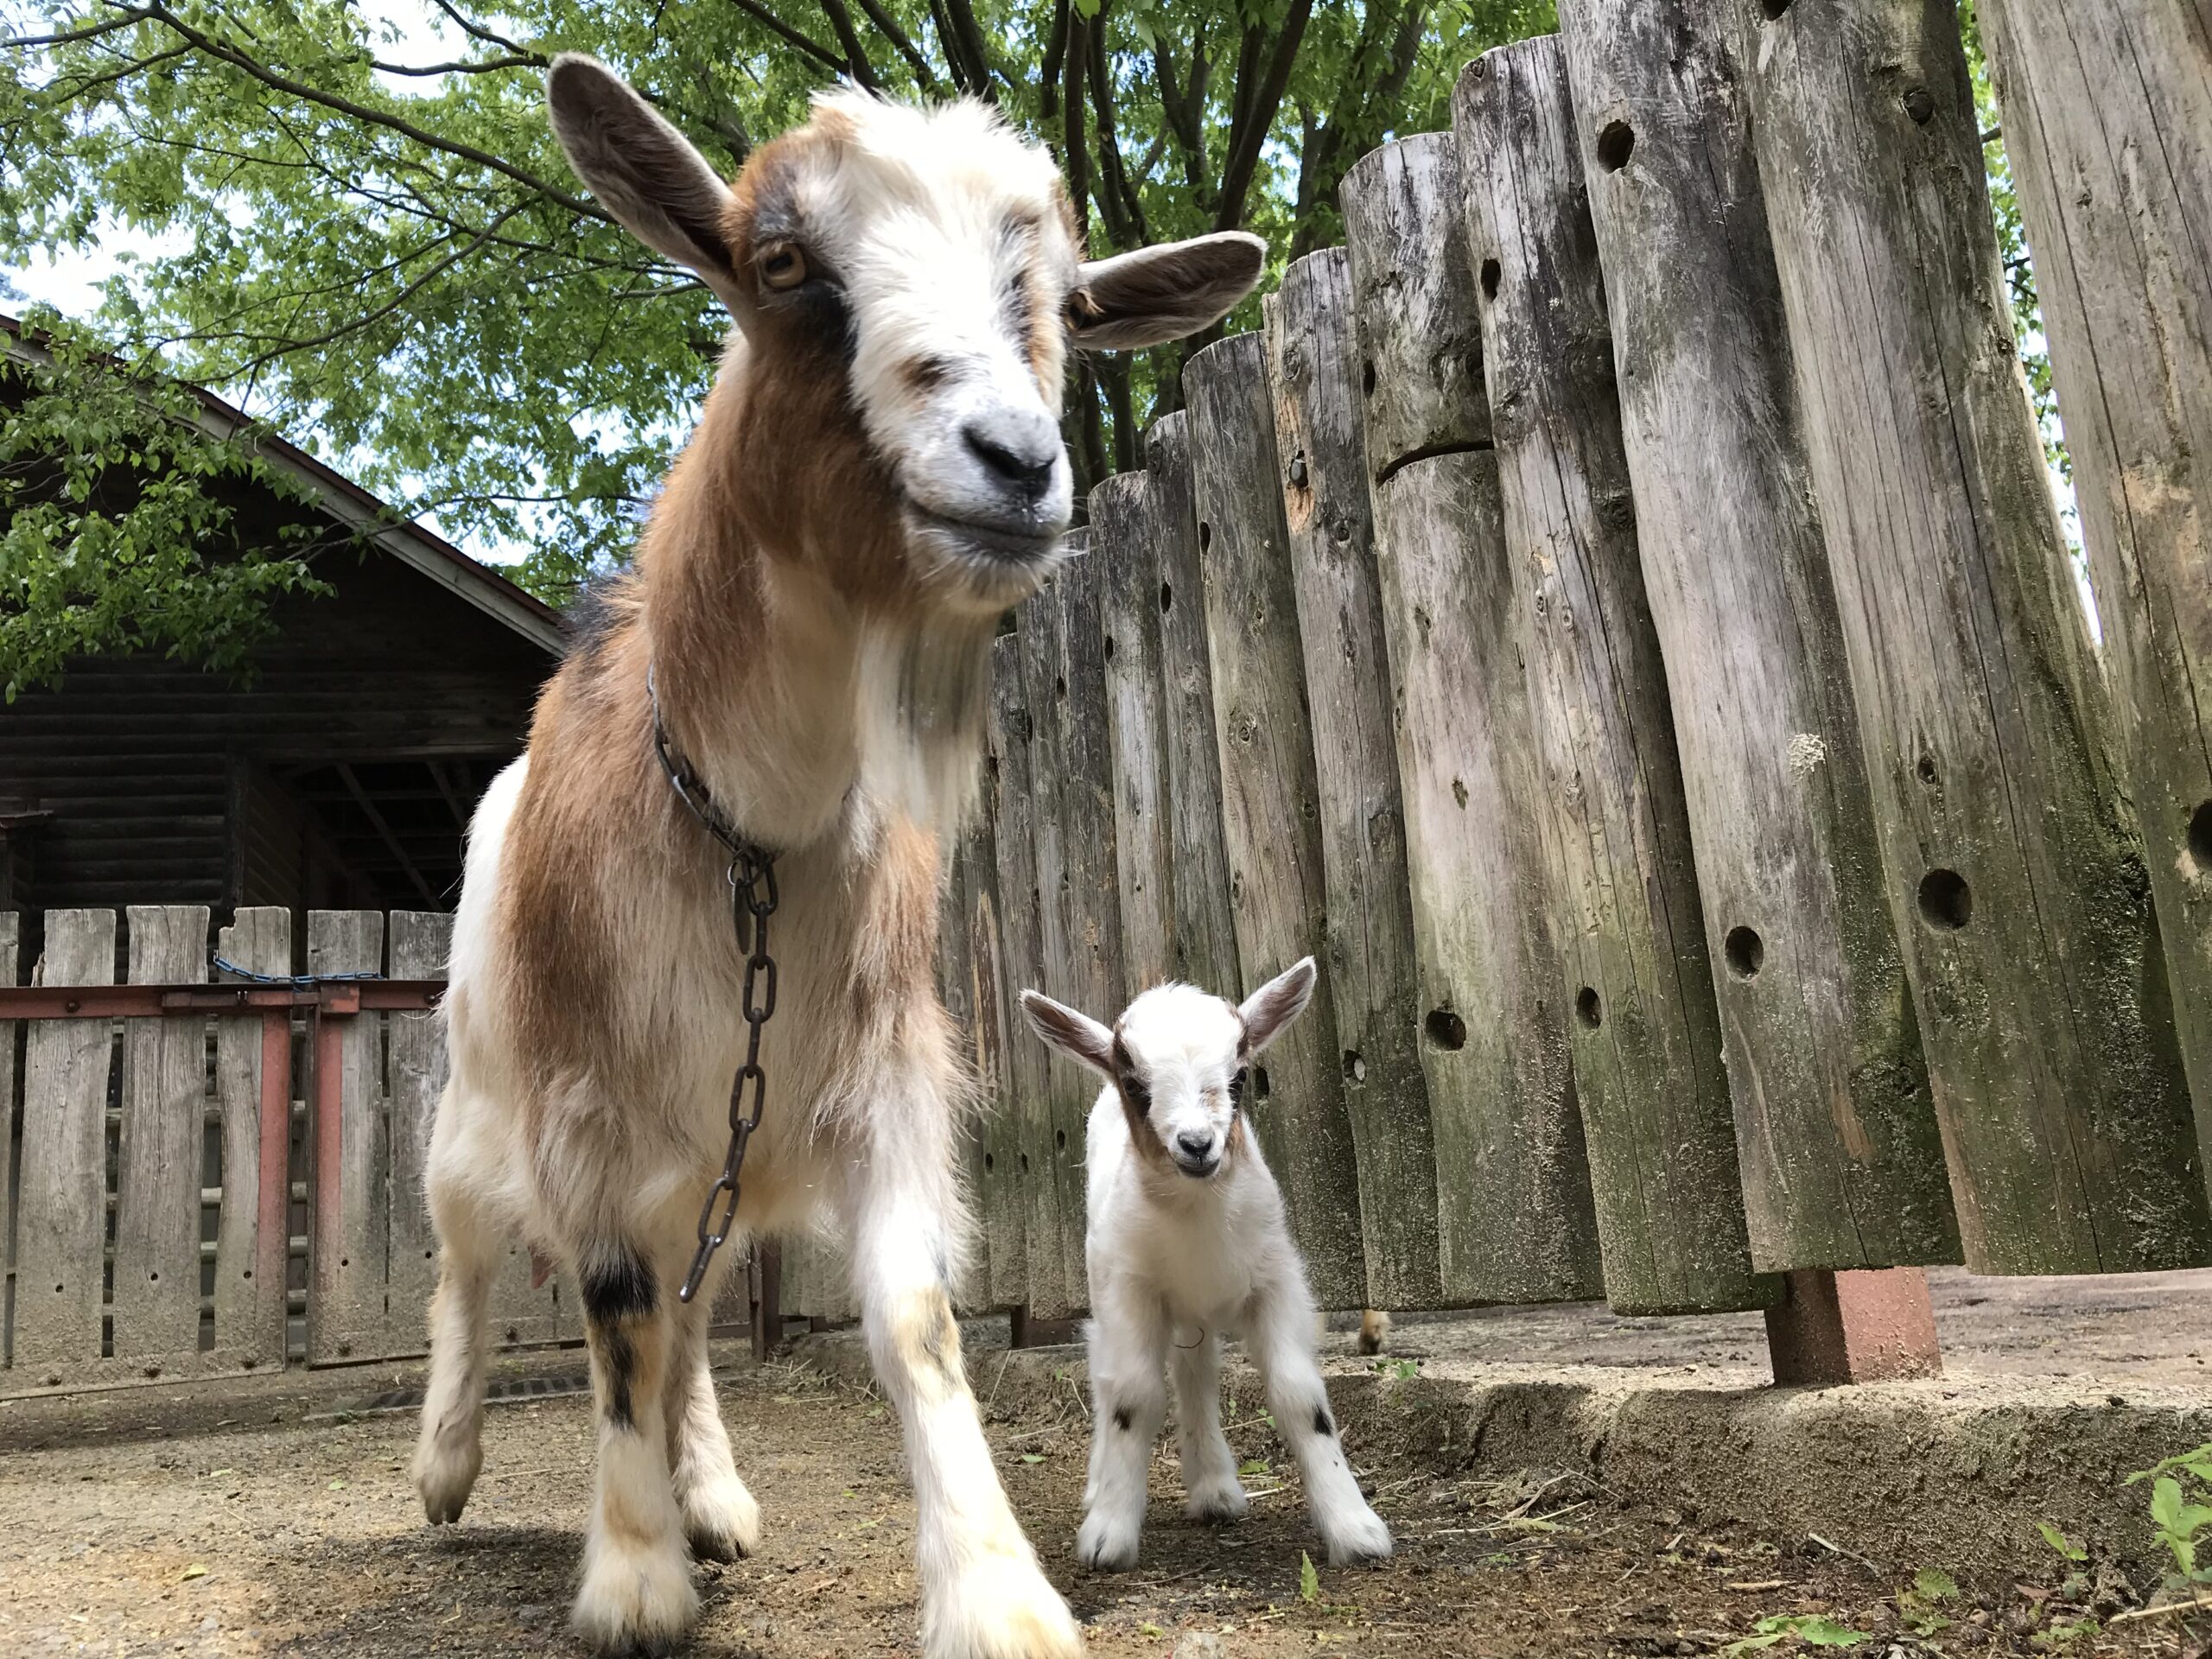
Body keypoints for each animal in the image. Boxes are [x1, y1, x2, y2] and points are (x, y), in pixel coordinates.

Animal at [410, 57, 1265, 1658]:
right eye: (781, 265)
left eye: (1058, 297)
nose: (1016, 462)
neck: (749, 827)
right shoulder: (585, 1101)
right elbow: (606, 1308)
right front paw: (631, 1578)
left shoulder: (879, 1073)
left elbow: (911, 1318)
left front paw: (996, 1591)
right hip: (476, 1108)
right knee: (474, 1264)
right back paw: (444, 1463)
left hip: (715, 1157)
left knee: (687, 1322)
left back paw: (715, 1491)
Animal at [1020, 960, 1394, 1572]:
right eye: (1135, 1085)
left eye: (1239, 1078)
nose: (1197, 1144)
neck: (1197, 1216)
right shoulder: (1131, 1288)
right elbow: (1133, 1395)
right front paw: (1108, 1536)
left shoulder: (1275, 1281)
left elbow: (1300, 1396)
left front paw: (1355, 1529)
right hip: (1105, 1282)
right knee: (1109, 1375)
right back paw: (1104, 1487)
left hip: (1194, 1315)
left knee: (1195, 1374)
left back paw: (1216, 1489)